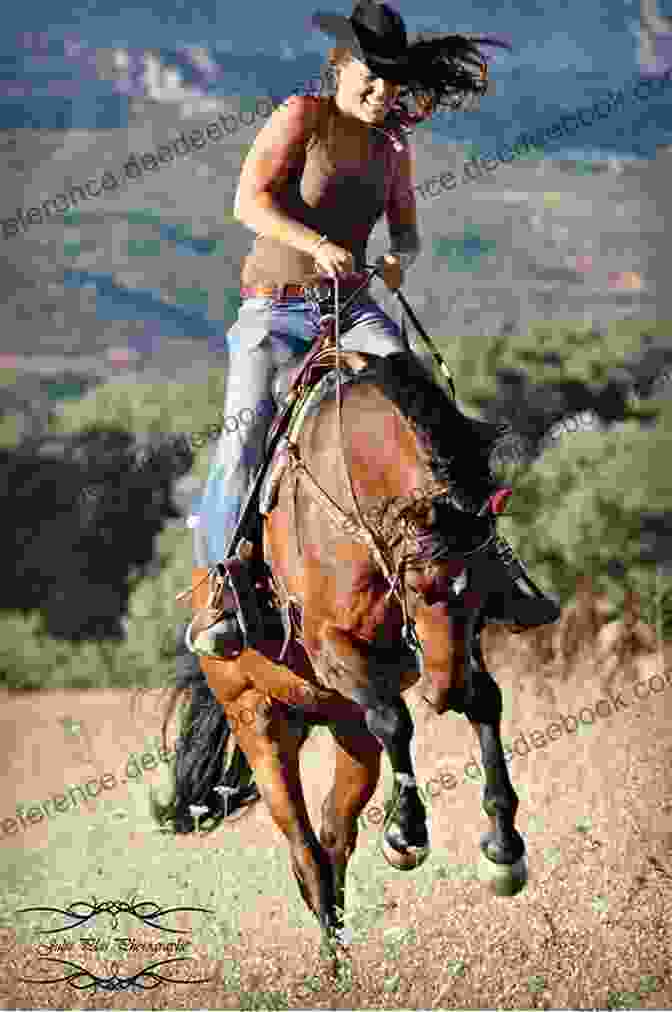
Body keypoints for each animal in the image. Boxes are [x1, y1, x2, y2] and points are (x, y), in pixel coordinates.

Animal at [153, 291, 530, 947]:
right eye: (419, 583)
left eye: (484, 587)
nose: (444, 690)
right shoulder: (332, 642)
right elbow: (397, 718)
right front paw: (407, 833)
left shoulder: (453, 650)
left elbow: (485, 701)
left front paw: (504, 848)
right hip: (259, 724)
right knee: (305, 849)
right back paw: (331, 947)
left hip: (344, 728)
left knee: (334, 837)